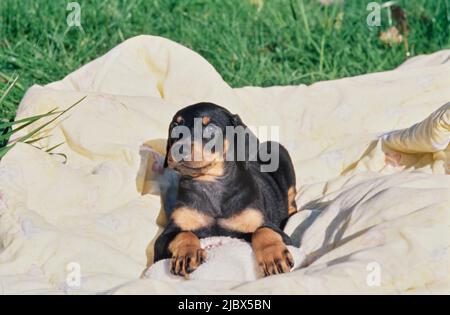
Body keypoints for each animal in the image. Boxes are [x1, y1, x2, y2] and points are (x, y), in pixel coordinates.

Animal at [153, 102, 298, 278]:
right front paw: (187, 254)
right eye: (175, 127)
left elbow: (262, 230)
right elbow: (184, 233)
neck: (210, 182)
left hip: (280, 154)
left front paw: (274, 256)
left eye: (211, 129)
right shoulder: (163, 240)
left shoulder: (277, 232)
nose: (179, 149)